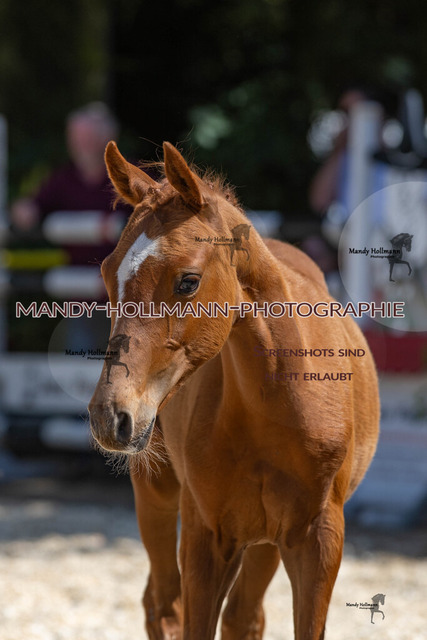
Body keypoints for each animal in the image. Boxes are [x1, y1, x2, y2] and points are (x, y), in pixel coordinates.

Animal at [89, 141, 380, 640]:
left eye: (188, 280)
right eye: (109, 274)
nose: (110, 415)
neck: (276, 408)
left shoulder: (318, 539)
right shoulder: (207, 536)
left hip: (265, 541)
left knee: (243, 616)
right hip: (158, 491)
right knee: (163, 604)